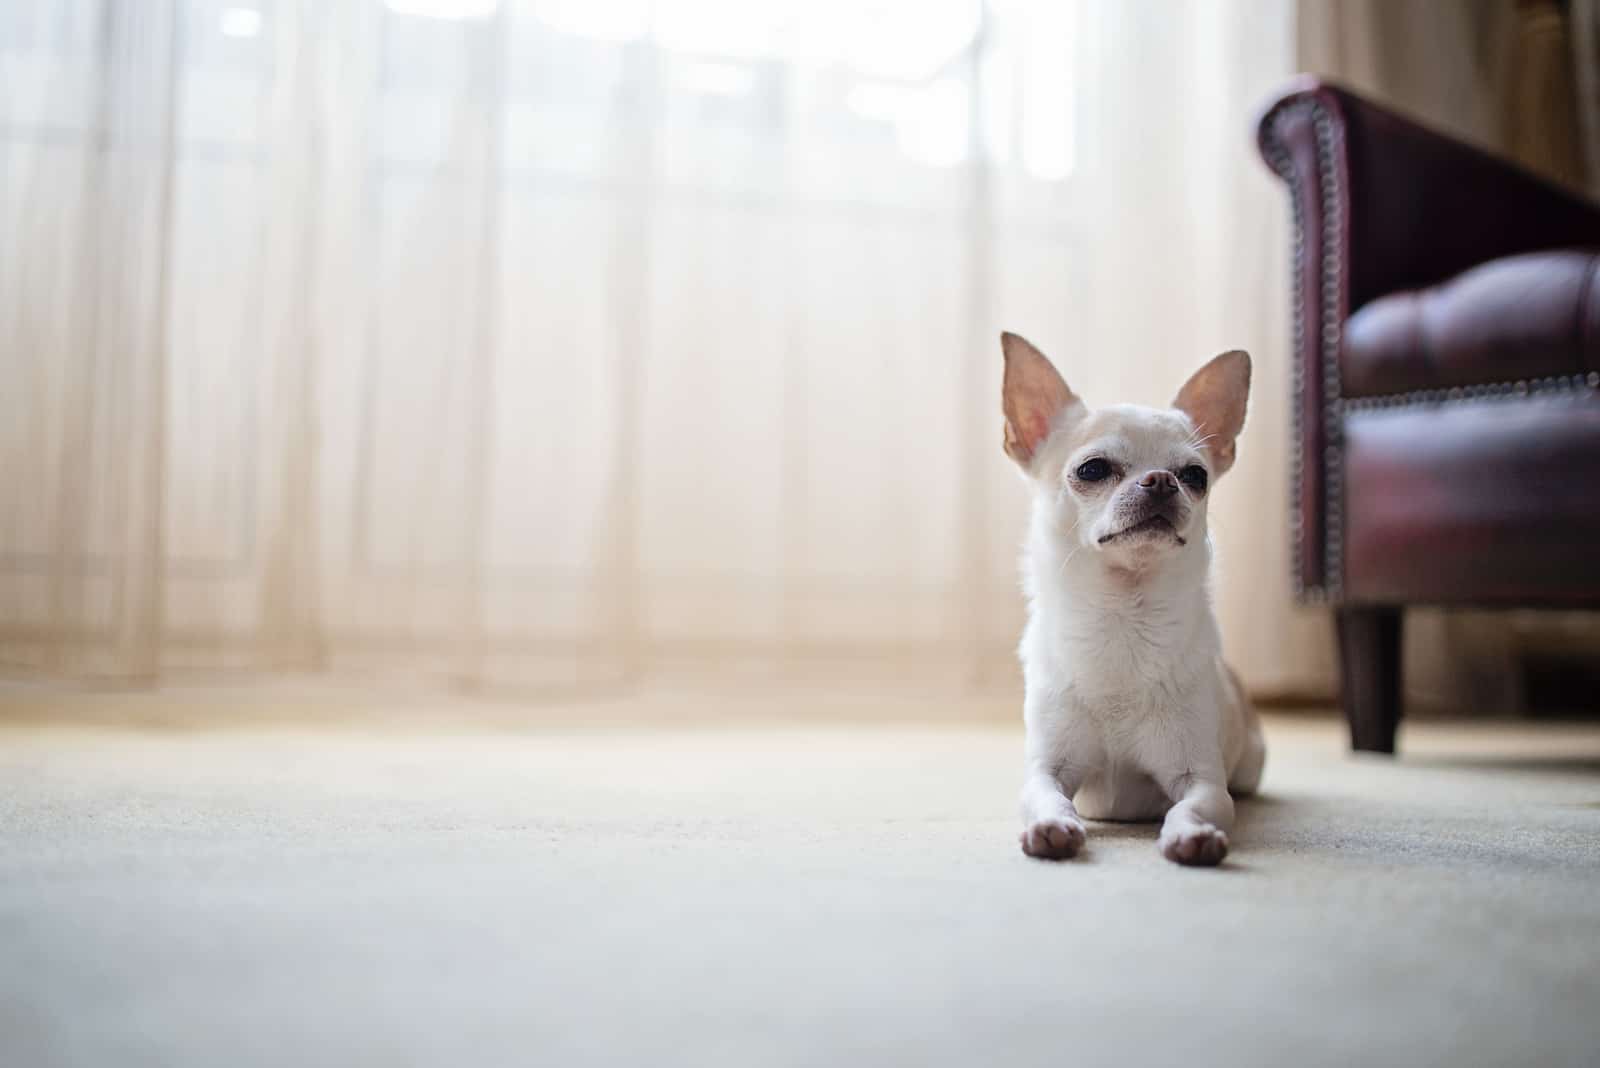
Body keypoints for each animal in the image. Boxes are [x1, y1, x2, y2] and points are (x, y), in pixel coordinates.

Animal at [1004, 334, 1267, 869]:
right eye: (1092, 469)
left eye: (1196, 476)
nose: (1162, 480)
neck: (1121, 616)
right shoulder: (1047, 767)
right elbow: (1047, 795)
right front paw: (1051, 828)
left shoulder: (1202, 780)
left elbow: (1193, 806)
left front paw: (1193, 836)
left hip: (1249, 767)